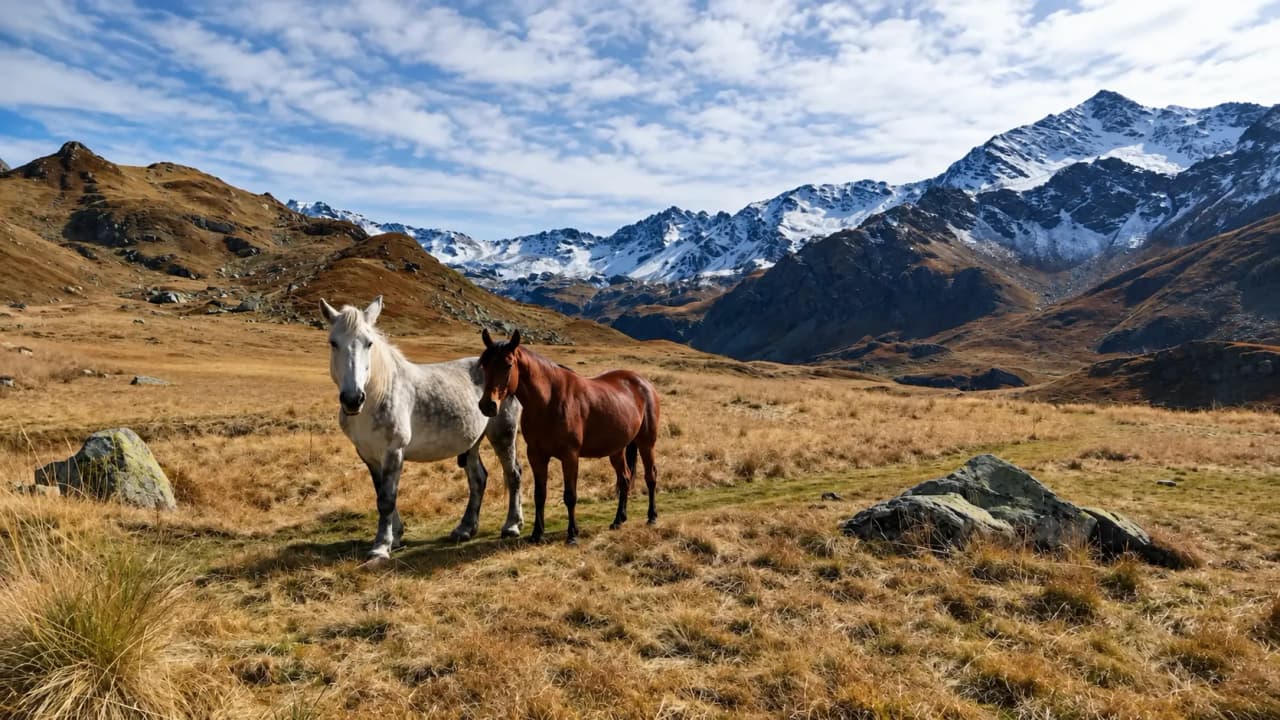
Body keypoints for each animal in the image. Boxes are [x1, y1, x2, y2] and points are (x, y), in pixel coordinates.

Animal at [319, 296, 524, 560]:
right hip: (472, 442)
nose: (353, 399)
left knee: (513, 474)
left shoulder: (393, 452)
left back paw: (512, 525)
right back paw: (465, 528)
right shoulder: (369, 455)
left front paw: (381, 547)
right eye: (333, 343)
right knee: (478, 479)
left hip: (503, 434)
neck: (378, 395)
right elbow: (381, 494)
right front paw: (395, 537)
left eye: (369, 343)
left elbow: (386, 499)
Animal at [476, 329, 660, 545]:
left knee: (650, 476)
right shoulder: (537, 456)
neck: (549, 401)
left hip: (646, 444)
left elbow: (570, 495)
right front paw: (537, 533)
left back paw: (652, 517)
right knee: (624, 479)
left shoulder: (570, 456)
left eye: (508, 364)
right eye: (485, 364)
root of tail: (643, 383)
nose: (487, 405)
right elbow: (540, 495)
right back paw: (618, 520)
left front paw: (572, 534)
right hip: (617, 450)